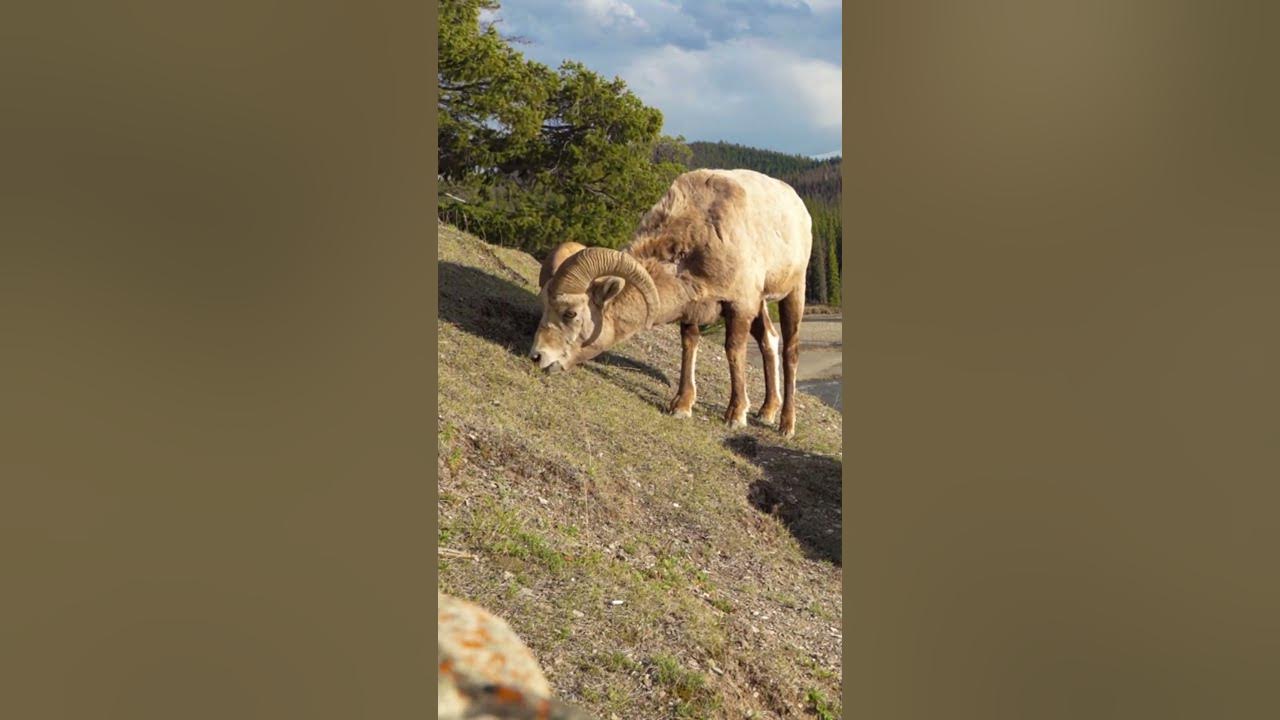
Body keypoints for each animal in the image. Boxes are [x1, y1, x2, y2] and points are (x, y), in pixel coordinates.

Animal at [530, 168, 813, 437]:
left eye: (570, 313)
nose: (537, 356)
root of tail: (799, 207)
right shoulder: (694, 310)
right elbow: (689, 345)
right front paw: (681, 406)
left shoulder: (739, 305)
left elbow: (733, 351)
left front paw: (735, 415)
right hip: (762, 304)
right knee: (769, 339)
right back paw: (767, 412)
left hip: (793, 292)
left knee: (790, 351)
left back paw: (786, 425)